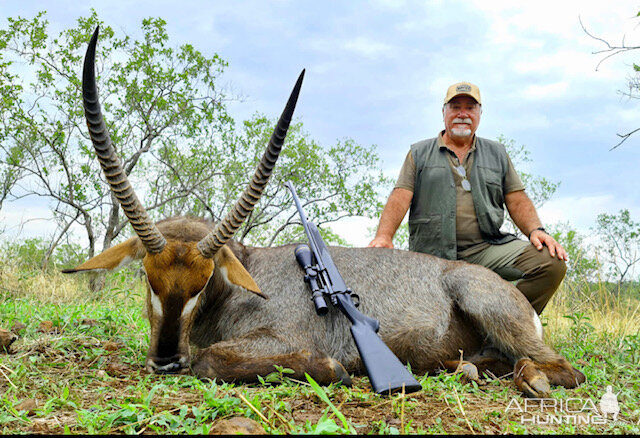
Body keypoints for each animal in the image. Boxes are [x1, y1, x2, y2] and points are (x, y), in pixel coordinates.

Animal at [66, 27, 584, 396]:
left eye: (204, 280)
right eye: (147, 276)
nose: (166, 361)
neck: (242, 279)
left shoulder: (273, 338)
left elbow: (210, 361)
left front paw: (330, 366)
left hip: (487, 304)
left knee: (565, 369)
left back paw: (531, 379)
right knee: (494, 363)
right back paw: (469, 371)